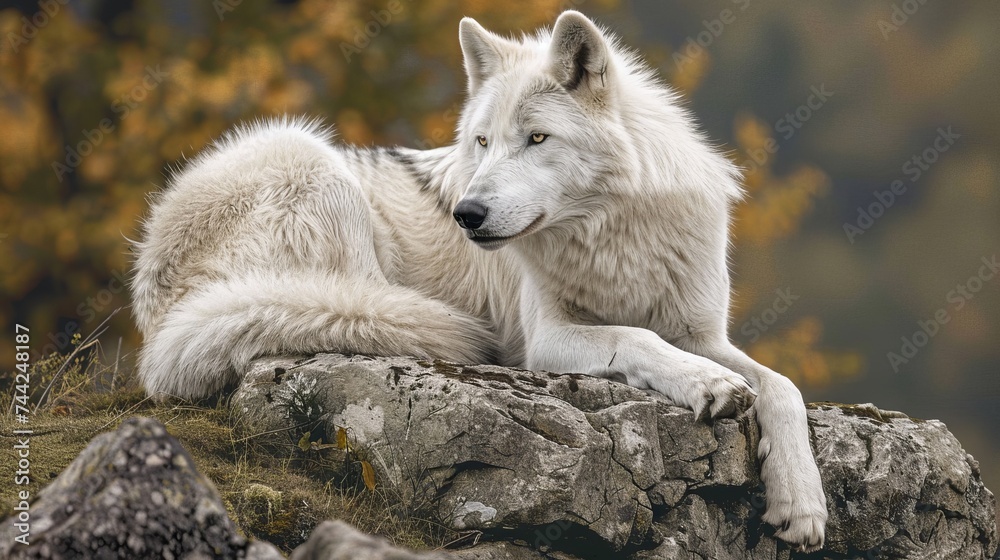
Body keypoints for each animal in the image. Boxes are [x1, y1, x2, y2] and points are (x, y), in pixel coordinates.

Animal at [130, 11, 827, 550]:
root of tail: (155, 307)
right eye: (483, 142)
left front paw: (802, 504)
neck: (611, 237)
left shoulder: (704, 333)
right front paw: (706, 384)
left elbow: (782, 387)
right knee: (352, 308)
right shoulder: (548, 337)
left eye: (537, 138)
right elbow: (636, 338)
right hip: (311, 166)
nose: (465, 213)